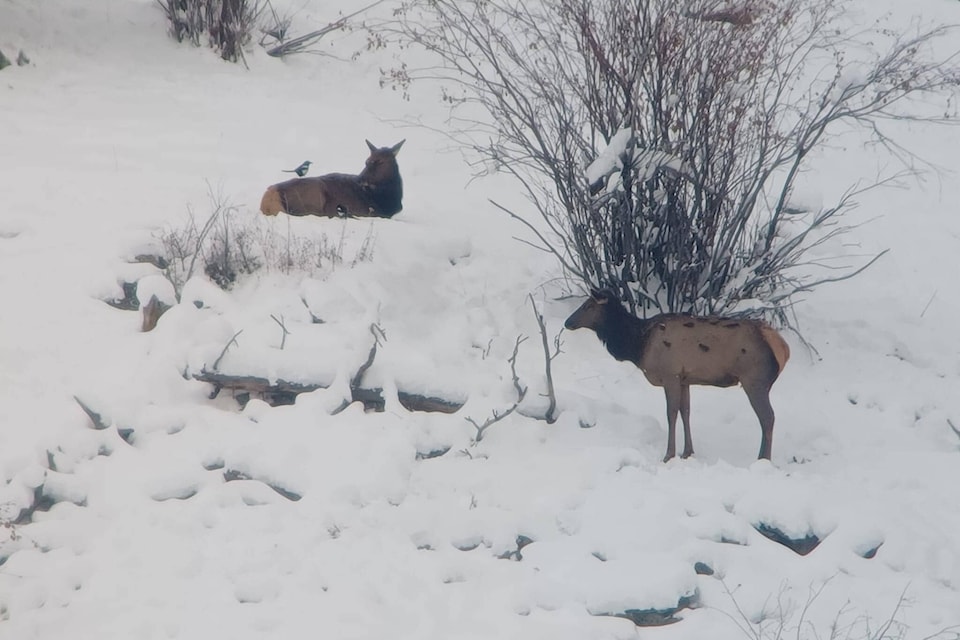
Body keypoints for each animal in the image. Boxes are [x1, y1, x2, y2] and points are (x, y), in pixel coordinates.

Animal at [564, 288, 788, 460]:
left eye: (588, 306)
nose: (567, 322)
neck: (638, 344)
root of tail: (783, 348)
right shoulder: (684, 379)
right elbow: (685, 412)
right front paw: (687, 452)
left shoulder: (670, 375)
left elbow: (670, 413)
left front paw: (668, 455)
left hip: (754, 380)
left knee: (768, 417)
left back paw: (763, 458)